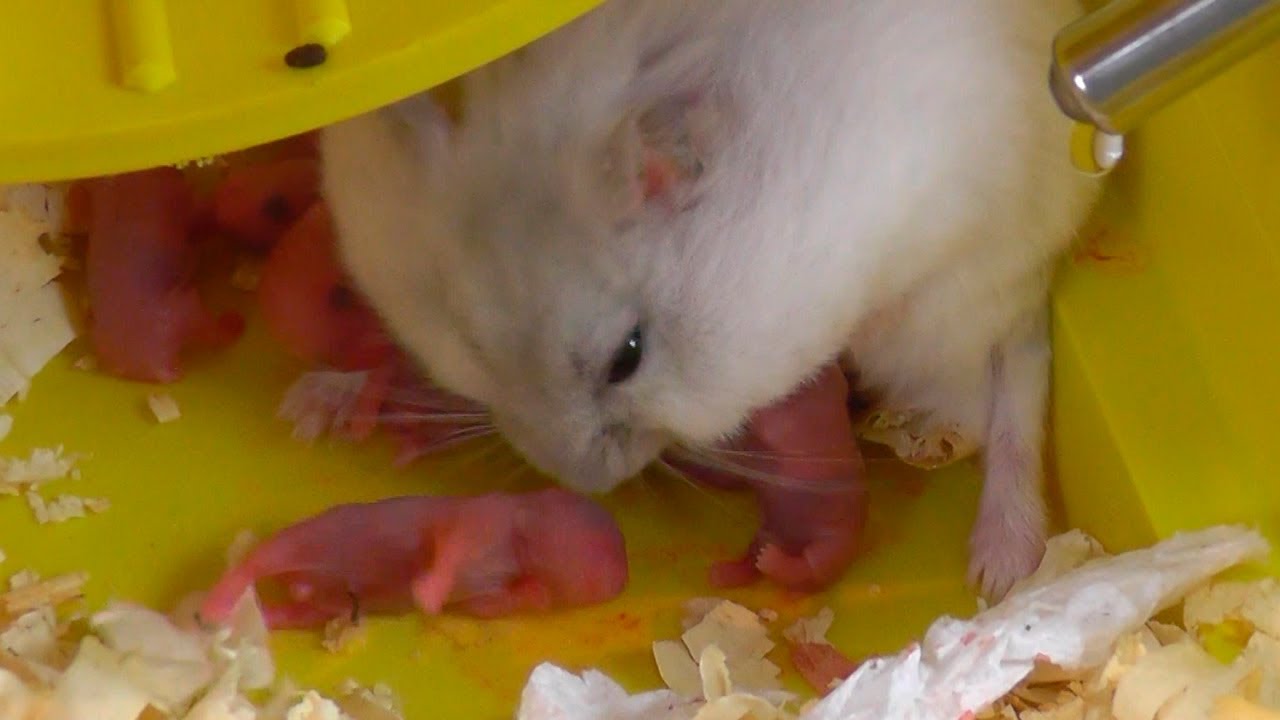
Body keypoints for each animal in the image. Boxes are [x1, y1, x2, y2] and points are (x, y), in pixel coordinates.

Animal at [319, 0, 1101, 599]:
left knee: (999, 387)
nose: (585, 483)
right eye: (470, 341)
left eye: (627, 358)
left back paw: (999, 568)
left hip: (956, 300)